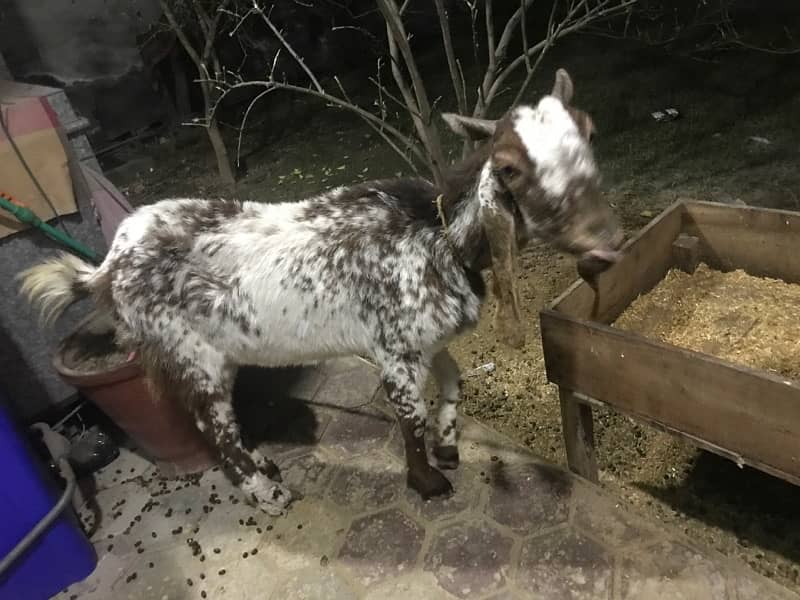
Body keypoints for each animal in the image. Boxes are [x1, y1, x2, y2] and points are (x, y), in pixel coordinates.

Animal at [17, 67, 620, 516]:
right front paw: (427, 482)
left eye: (590, 131)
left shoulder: (422, 340)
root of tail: (107, 266)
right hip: (189, 353)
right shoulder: (393, 350)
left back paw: (265, 467)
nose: (607, 240)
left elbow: (453, 381)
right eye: (510, 167)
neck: (436, 232)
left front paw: (449, 446)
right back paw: (267, 492)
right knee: (211, 426)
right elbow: (409, 418)